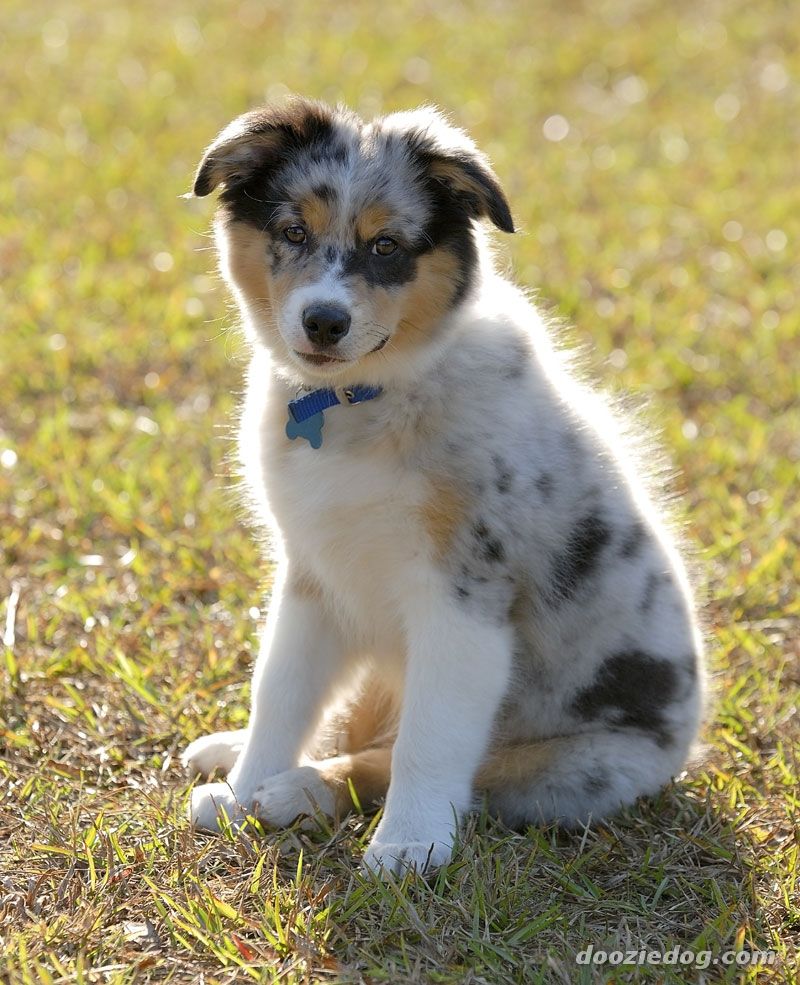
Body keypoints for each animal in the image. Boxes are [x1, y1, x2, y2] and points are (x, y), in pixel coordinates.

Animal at [180, 96, 700, 872]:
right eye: (293, 232)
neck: (362, 400)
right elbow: (280, 691)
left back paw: (301, 790)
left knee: (391, 758)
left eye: (387, 247)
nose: (324, 321)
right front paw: (243, 791)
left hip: (576, 767)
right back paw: (247, 762)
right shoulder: (312, 575)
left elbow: (426, 742)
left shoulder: (463, 598)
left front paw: (408, 844)